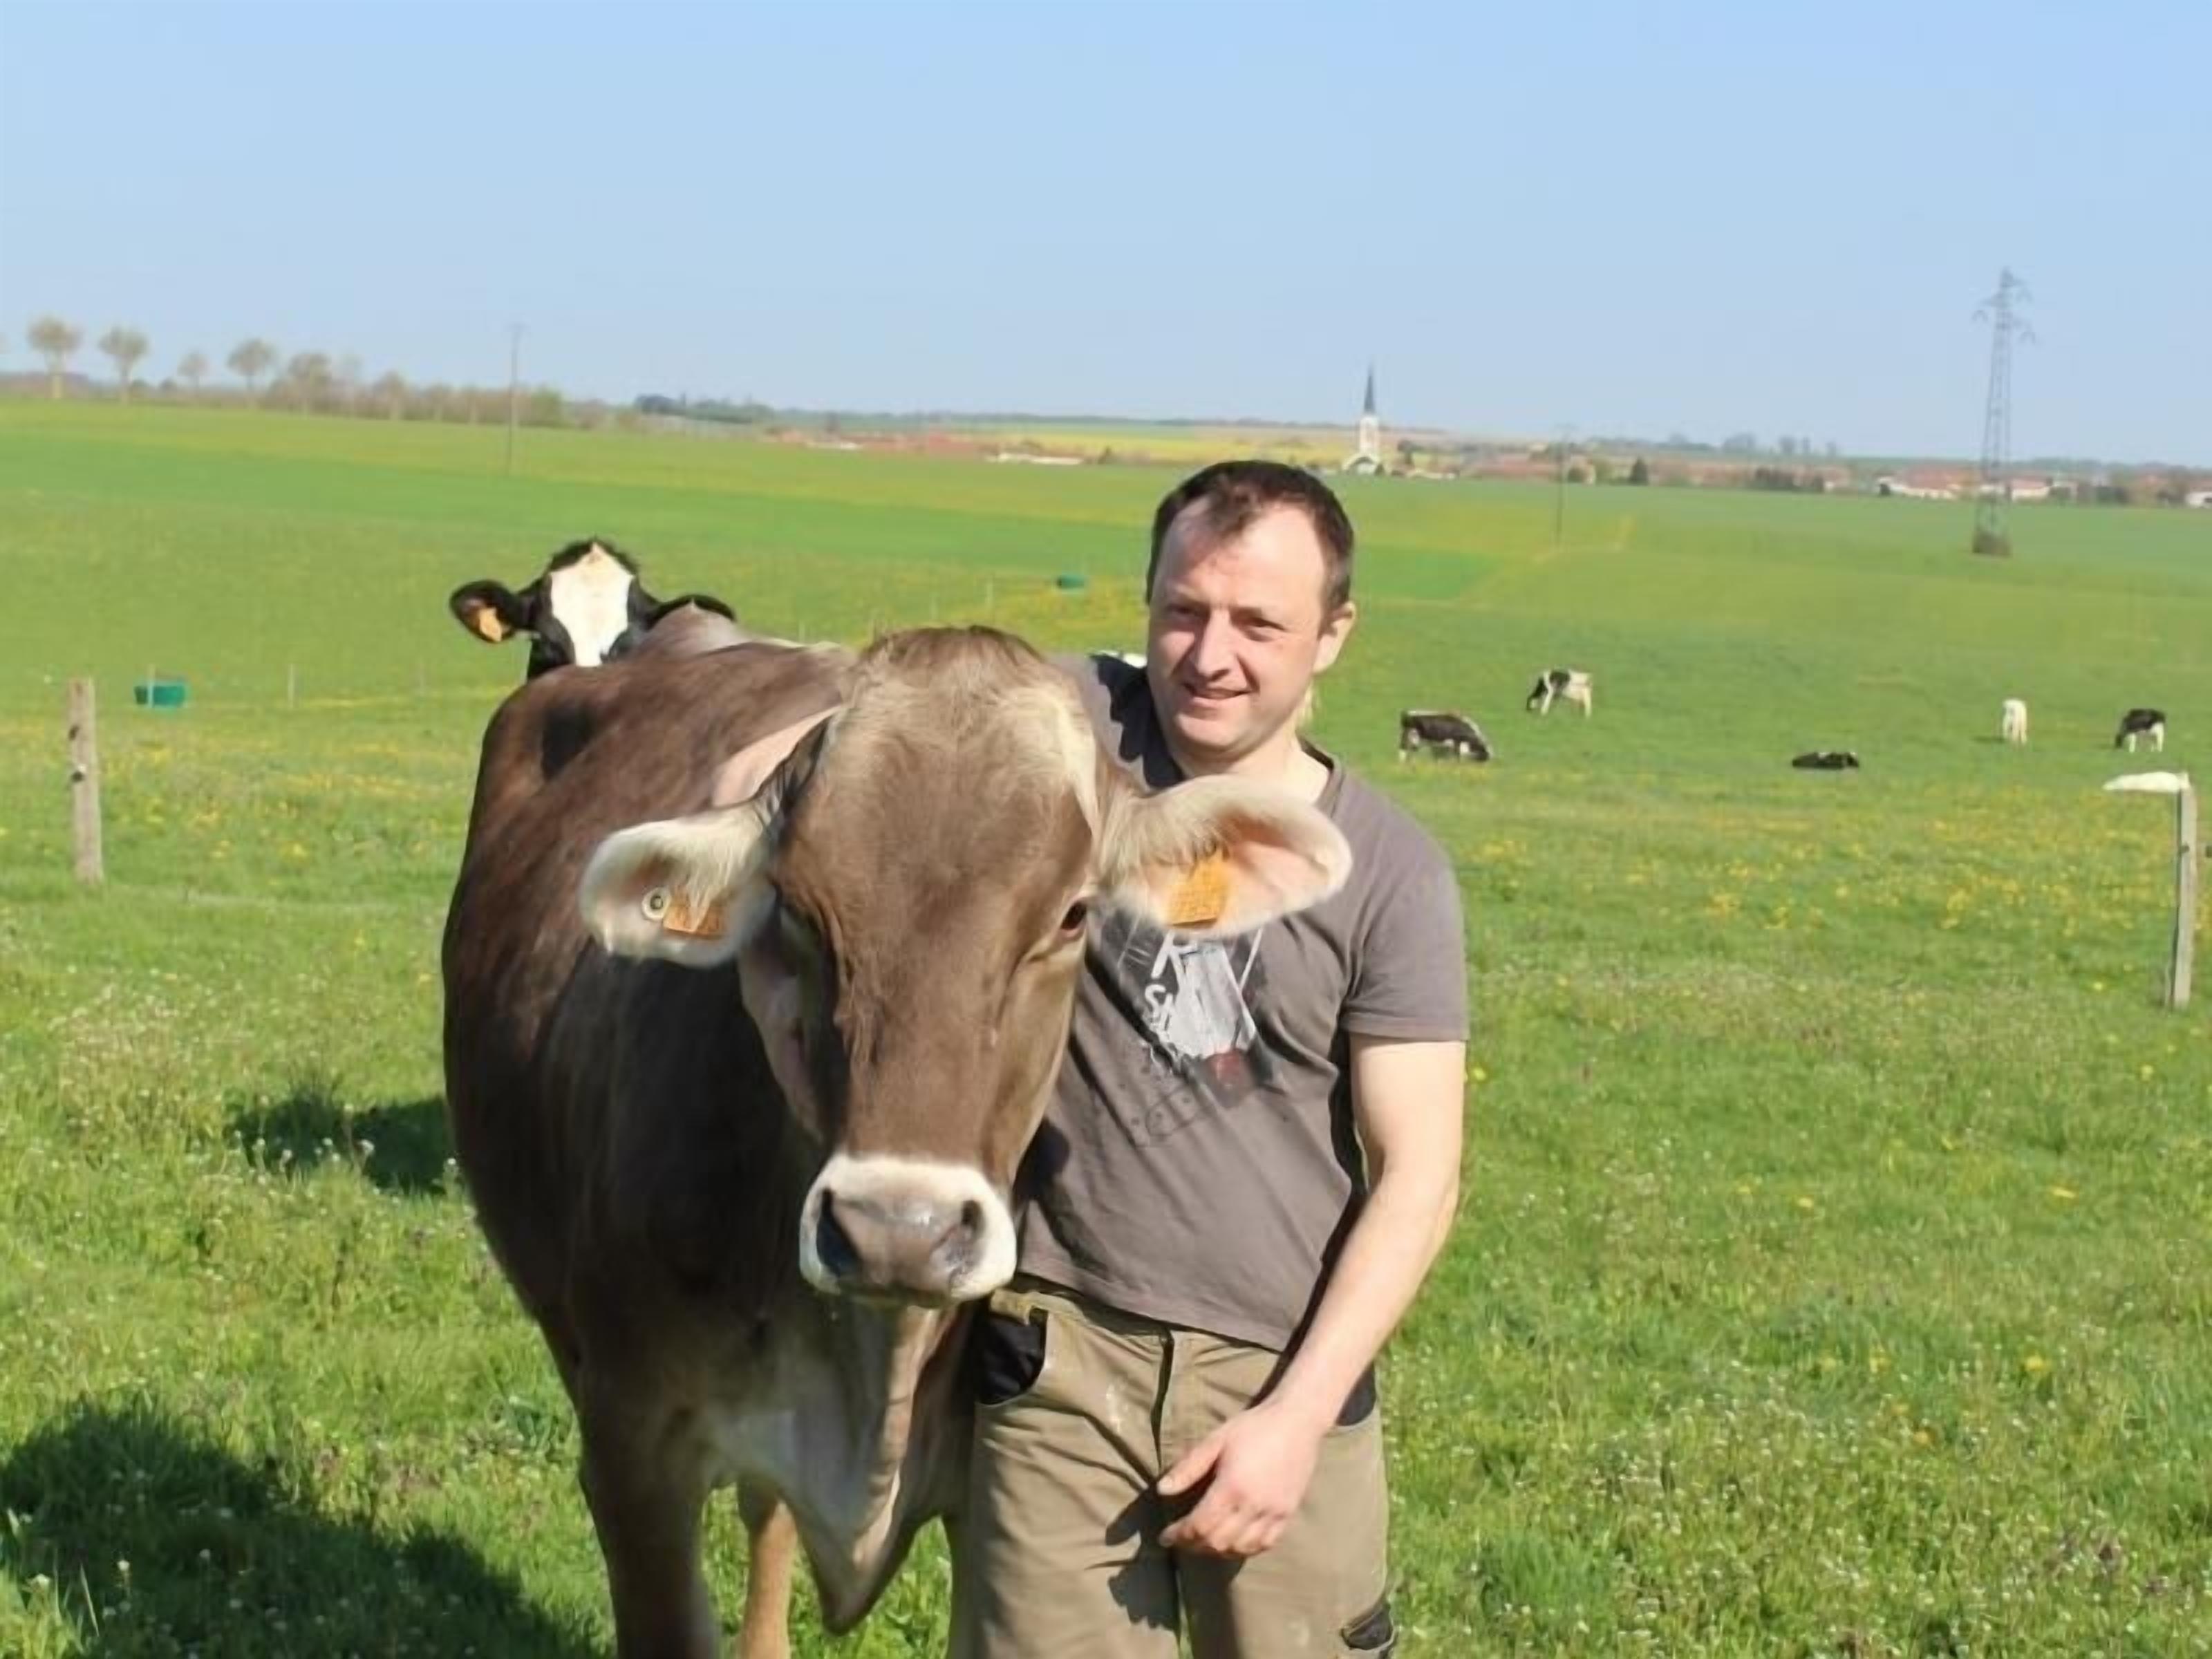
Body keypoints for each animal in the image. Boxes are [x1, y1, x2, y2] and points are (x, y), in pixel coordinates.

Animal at [1398, 709, 1493, 762]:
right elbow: (1458, 758)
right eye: (1483, 758)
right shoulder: (1457, 744)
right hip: (1410, 739)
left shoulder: (1443, 748)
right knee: (1403, 752)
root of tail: (1409, 715)